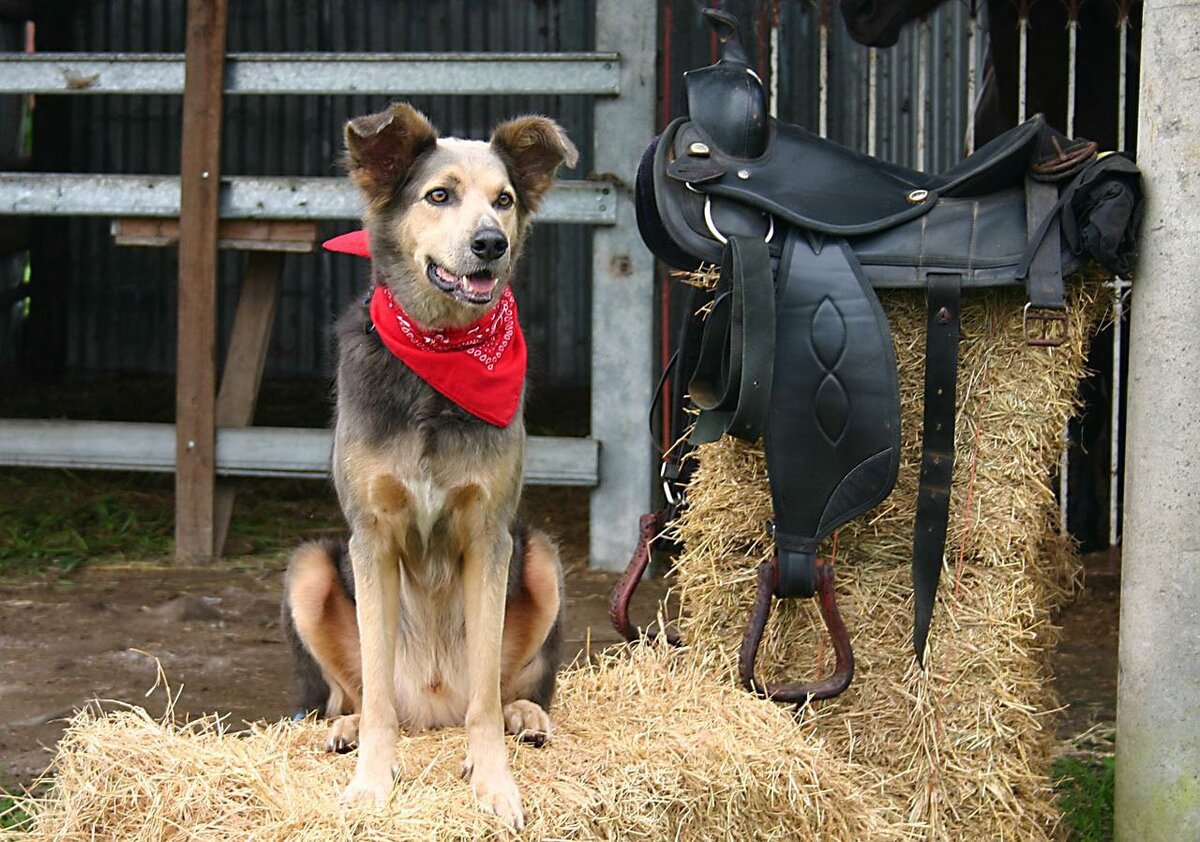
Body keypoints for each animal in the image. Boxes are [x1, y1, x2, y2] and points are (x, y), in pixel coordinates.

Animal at [283, 100, 578, 830]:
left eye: (503, 200)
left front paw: (495, 783)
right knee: (356, 693)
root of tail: (432, 710)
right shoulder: (370, 536)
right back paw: (346, 727)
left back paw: (526, 715)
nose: (491, 243)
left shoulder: (491, 535)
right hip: (309, 568)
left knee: (512, 686)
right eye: (438, 195)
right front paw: (371, 784)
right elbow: (377, 691)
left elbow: (484, 701)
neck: (439, 360)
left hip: (540, 557)